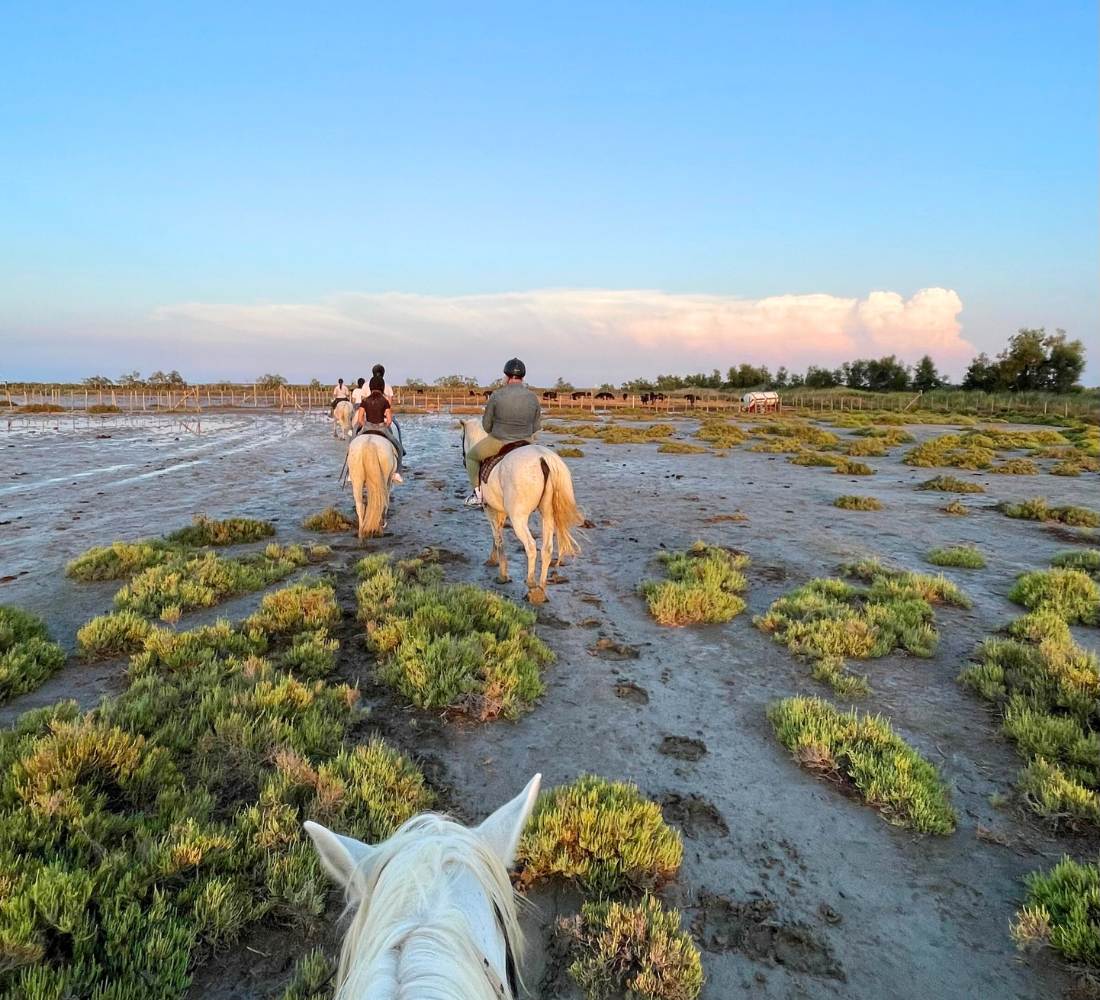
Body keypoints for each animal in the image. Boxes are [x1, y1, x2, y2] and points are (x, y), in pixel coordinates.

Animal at [457, 415, 580, 602]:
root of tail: (543, 459)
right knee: (547, 549)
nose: (464, 459)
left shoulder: (489, 508)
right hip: (548, 515)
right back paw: (541, 588)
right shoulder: (500, 511)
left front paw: (501, 573)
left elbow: (497, 537)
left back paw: (531, 585)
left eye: (461, 438)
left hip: (518, 518)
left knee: (530, 546)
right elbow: (497, 535)